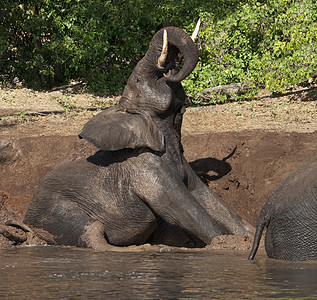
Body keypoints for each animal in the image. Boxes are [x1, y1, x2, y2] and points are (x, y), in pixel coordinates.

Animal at [19, 24, 253, 251]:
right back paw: (154, 249)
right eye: (139, 79)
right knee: (93, 233)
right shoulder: (145, 169)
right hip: (57, 213)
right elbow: (186, 211)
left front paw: (250, 236)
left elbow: (212, 202)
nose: (170, 66)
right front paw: (233, 245)